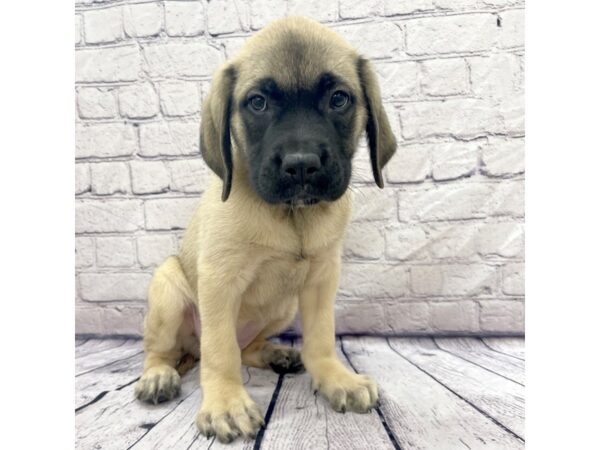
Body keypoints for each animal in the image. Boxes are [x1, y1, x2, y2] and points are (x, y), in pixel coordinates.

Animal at [137, 15, 398, 444]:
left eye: (339, 99)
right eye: (257, 102)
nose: (302, 165)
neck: (291, 217)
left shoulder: (321, 278)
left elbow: (322, 337)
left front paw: (336, 378)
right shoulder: (219, 282)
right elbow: (220, 350)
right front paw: (226, 404)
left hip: (282, 305)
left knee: (246, 346)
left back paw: (276, 352)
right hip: (167, 287)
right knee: (164, 351)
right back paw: (158, 376)